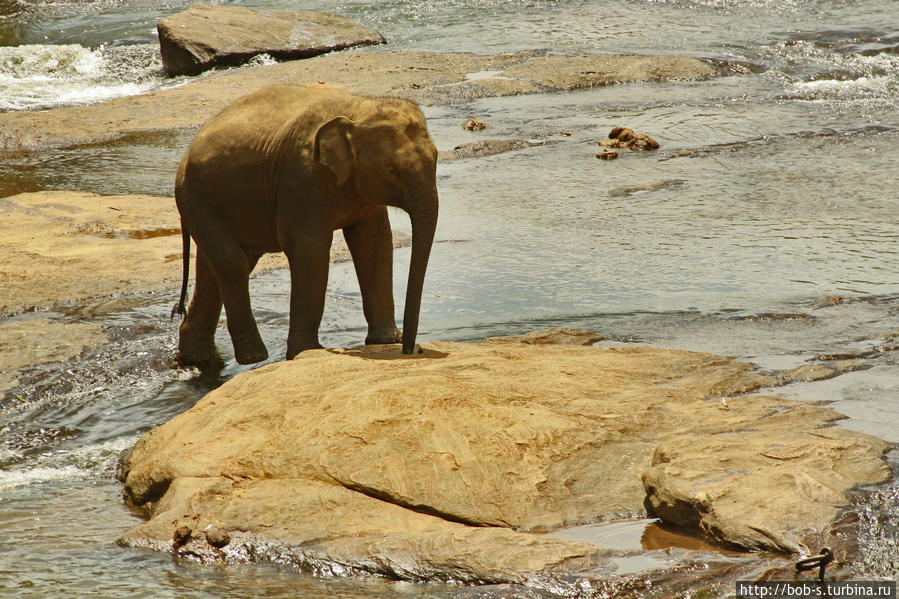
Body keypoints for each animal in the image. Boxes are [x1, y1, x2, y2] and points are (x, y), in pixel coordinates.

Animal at [171, 84, 440, 366]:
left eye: (436, 158)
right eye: (392, 170)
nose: (410, 349)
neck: (358, 108)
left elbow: (374, 242)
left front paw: (385, 340)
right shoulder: (301, 178)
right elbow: (310, 247)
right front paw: (306, 352)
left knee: (214, 270)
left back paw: (199, 359)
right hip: (197, 200)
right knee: (233, 264)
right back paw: (253, 357)